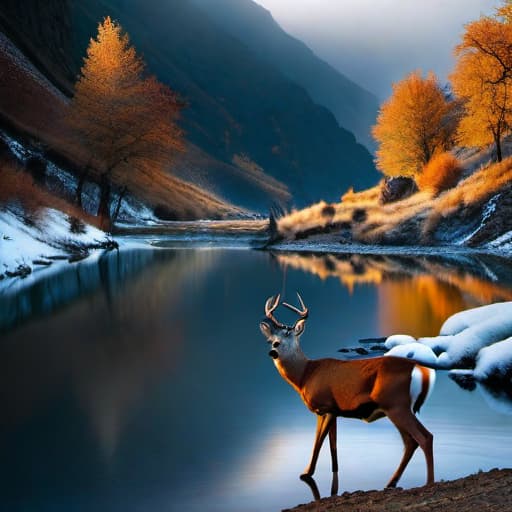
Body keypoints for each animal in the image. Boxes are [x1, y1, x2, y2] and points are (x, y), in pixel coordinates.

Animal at [260, 294, 436, 494]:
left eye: (288, 334)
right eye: (271, 338)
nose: (273, 349)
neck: (305, 375)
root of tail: (420, 369)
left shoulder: (326, 406)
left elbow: (318, 443)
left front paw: (306, 473)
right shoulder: (332, 412)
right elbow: (332, 446)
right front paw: (333, 478)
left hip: (396, 405)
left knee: (423, 438)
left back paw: (429, 482)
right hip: (398, 407)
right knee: (412, 441)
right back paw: (391, 482)